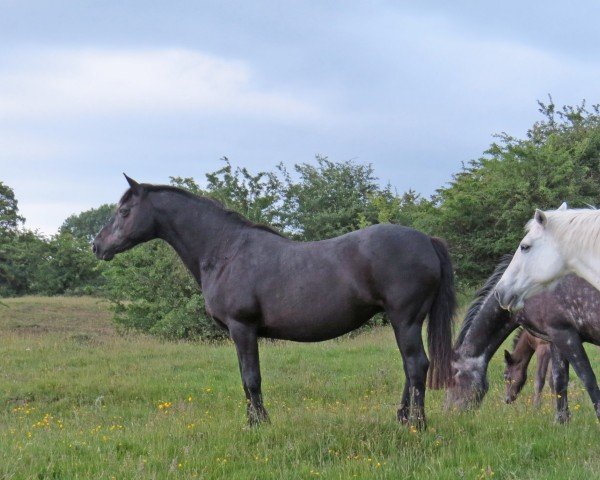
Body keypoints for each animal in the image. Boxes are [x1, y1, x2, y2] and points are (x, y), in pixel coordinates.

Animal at [92, 177, 454, 428]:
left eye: (124, 211)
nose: (97, 245)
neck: (225, 250)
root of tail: (426, 240)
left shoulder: (242, 328)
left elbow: (251, 378)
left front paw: (260, 425)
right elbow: (245, 379)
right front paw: (253, 422)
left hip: (405, 319)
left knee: (416, 365)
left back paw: (417, 424)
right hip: (404, 321)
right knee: (409, 367)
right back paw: (402, 418)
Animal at [446, 256, 600, 422]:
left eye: (453, 381)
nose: (448, 413)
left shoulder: (563, 336)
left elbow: (587, 379)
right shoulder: (555, 340)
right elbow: (559, 379)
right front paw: (561, 420)